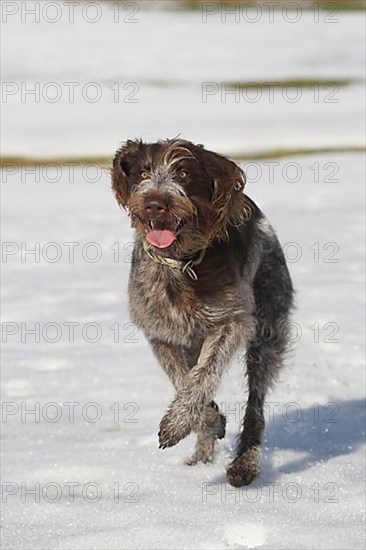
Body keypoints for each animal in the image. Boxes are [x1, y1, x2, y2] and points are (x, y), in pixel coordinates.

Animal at [111, 138, 294, 488]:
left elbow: (204, 376)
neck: (181, 264)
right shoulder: (161, 334)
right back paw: (200, 458)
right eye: (143, 172)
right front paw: (206, 422)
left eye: (183, 173)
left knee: (255, 404)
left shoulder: (231, 322)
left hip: (268, 326)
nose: (155, 203)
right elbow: (183, 380)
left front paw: (177, 424)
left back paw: (244, 464)